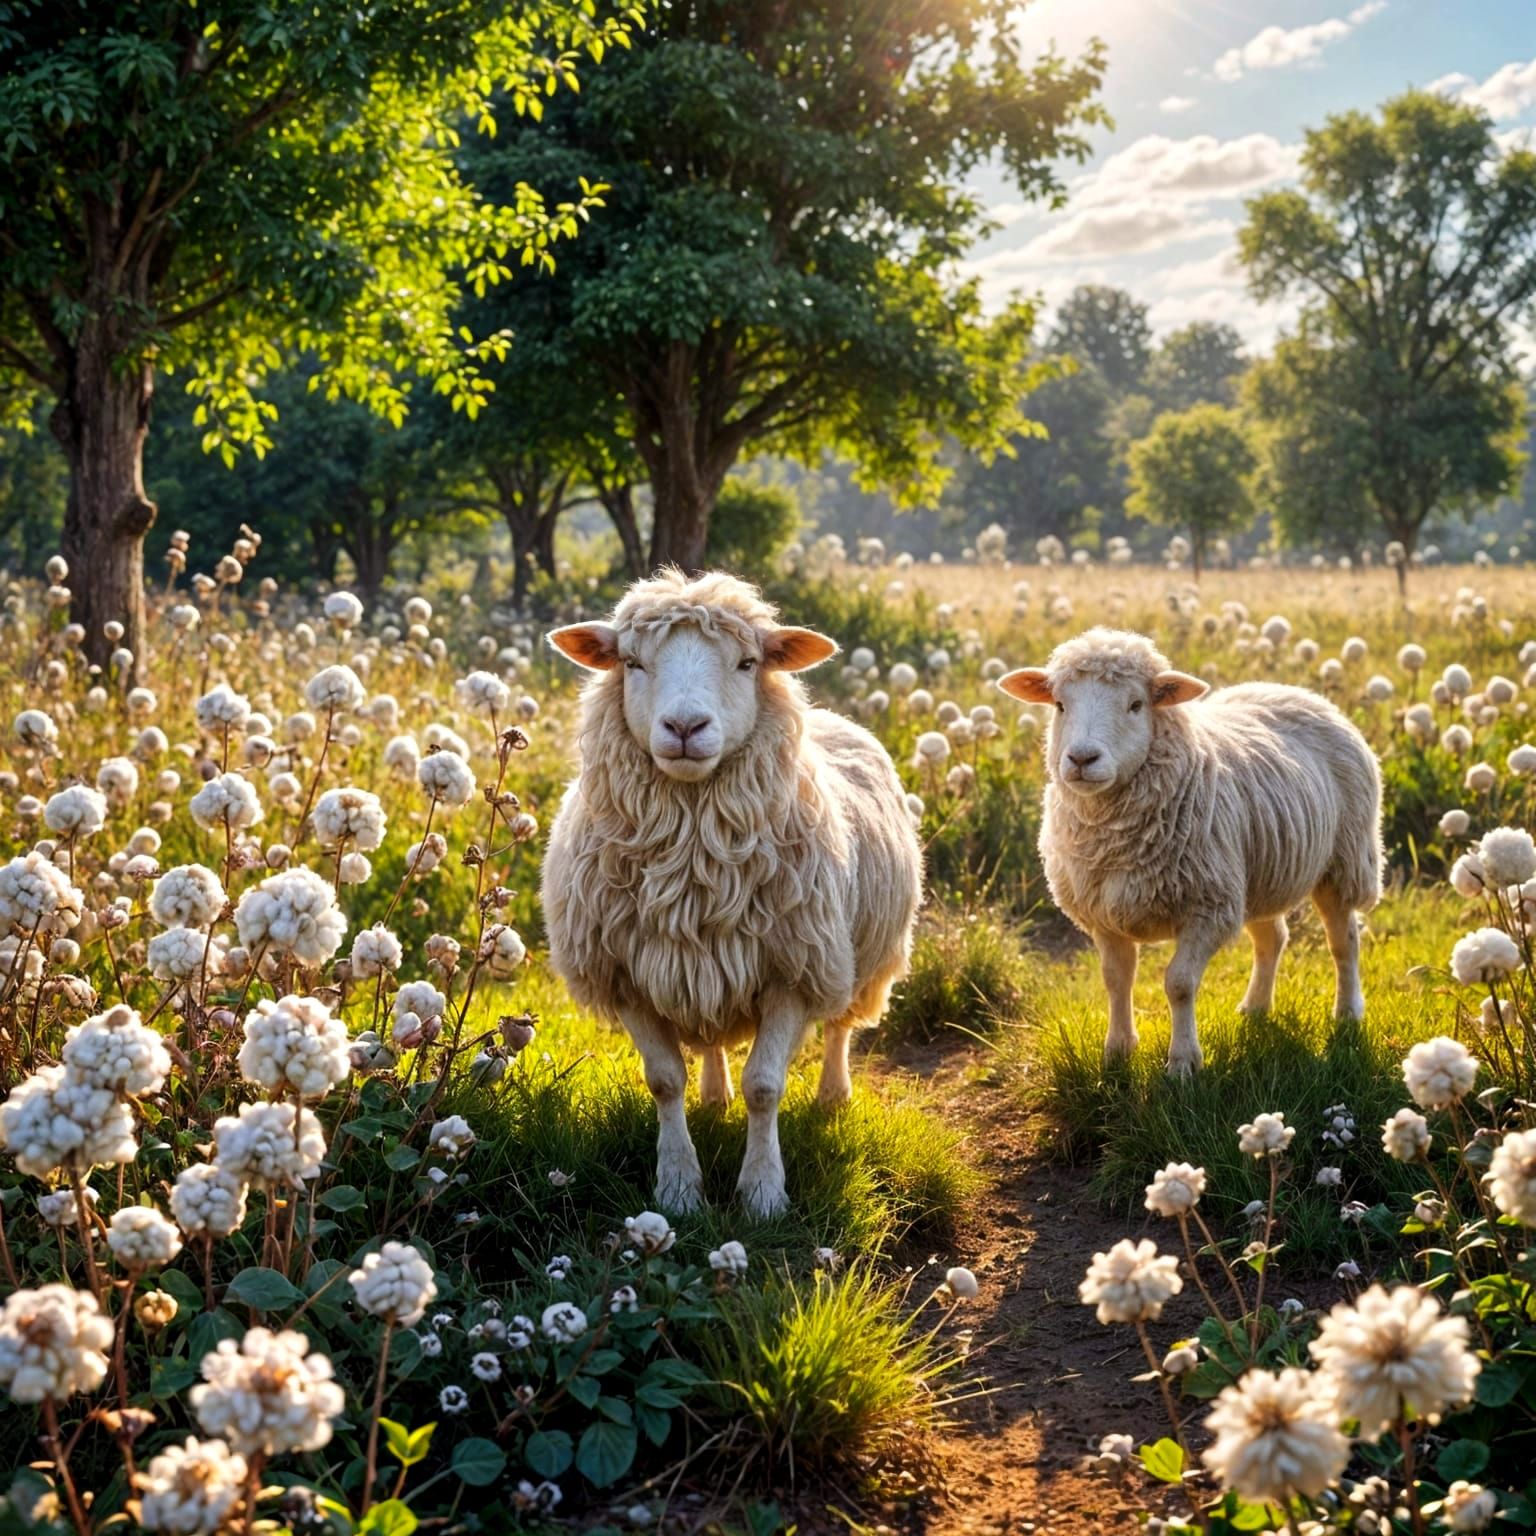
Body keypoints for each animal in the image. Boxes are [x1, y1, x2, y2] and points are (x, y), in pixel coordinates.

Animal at [543, 570, 922, 1215]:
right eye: (632, 663)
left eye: (747, 663)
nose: (685, 728)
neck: (694, 868)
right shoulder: (626, 974)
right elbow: (664, 1081)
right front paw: (678, 1187)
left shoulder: (792, 971)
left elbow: (765, 1086)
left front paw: (764, 1193)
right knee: (712, 1043)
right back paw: (714, 1096)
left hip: (853, 956)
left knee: (841, 1024)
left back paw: (832, 1095)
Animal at [1000, 628, 1382, 1075]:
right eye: (1060, 704)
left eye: (1136, 705)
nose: (1081, 758)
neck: (1115, 838)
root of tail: (1295, 690)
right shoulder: (1104, 914)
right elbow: (1116, 979)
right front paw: (1117, 1051)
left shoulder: (1208, 907)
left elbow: (1179, 984)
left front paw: (1183, 1062)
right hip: (1257, 875)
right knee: (1272, 938)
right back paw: (1255, 1007)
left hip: (1344, 861)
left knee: (1344, 942)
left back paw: (1348, 1012)